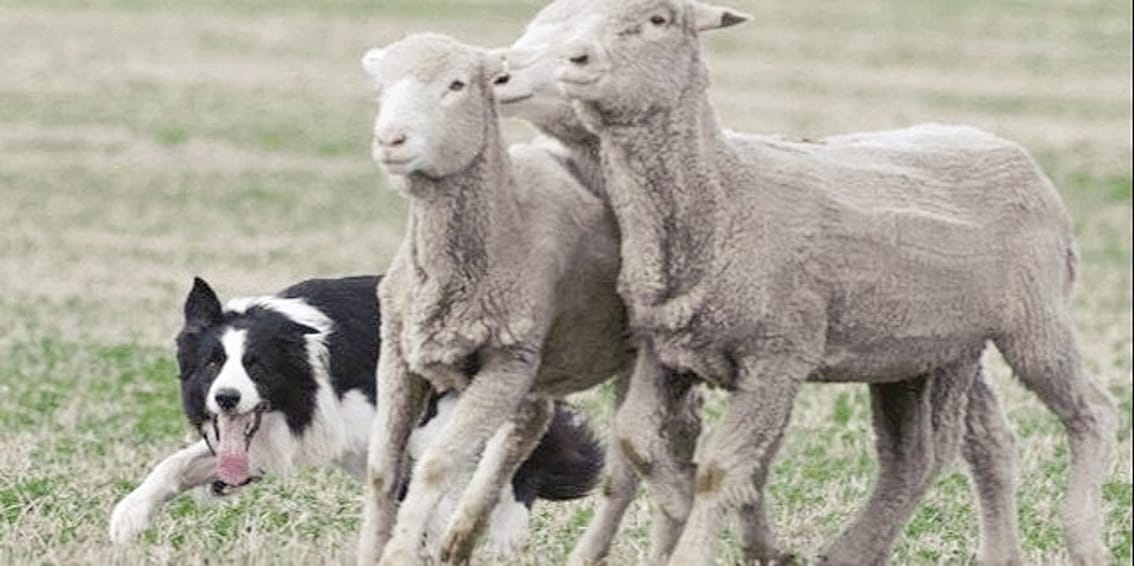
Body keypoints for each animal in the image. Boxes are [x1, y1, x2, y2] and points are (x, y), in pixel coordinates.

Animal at [355, 33, 687, 566]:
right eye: (381, 87)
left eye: (457, 85)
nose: (391, 141)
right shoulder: (399, 354)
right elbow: (383, 469)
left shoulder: (507, 364)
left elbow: (436, 463)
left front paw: (401, 551)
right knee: (530, 425)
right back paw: (460, 538)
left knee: (629, 470)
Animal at [521, 1, 1116, 564]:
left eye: (658, 19)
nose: (574, 60)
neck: (726, 194)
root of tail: (1007, 148)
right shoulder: (665, 353)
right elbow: (636, 439)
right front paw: (686, 506)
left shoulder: (777, 359)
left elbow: (723, 468)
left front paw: (695, 543)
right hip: (924, 354)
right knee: (934, 451)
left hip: (1035, 319)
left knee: (1090, 412)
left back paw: (1084, 539)